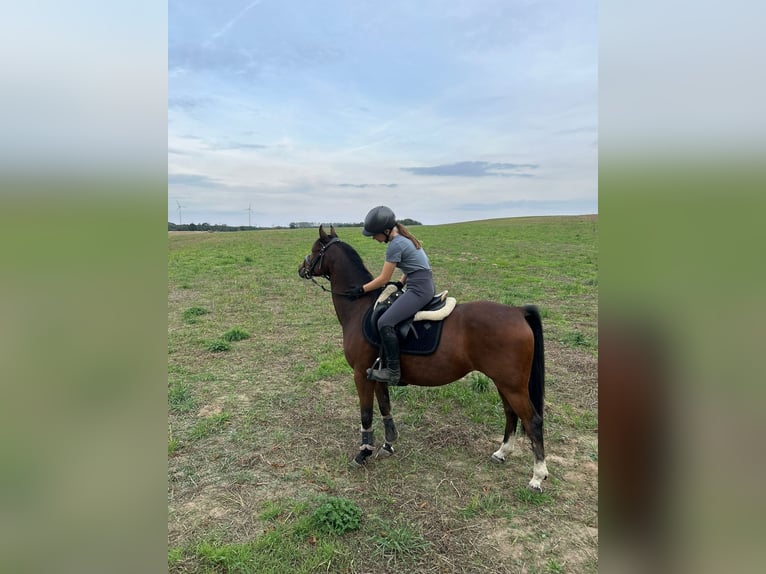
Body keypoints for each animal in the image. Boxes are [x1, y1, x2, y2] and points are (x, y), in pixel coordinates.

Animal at [300, 227, 552, 492]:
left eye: (316, 250)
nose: (301, 268)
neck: (360, 308)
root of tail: (517, 311)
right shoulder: (377, 374)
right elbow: (385, 407)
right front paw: (388, 444)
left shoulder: (361, 374)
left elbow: (366, 413)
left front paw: (363, 452)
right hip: (503, 382)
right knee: (510, 413)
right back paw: (502, 452)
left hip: (512, 385)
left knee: (533, 421)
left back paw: (537, 476)